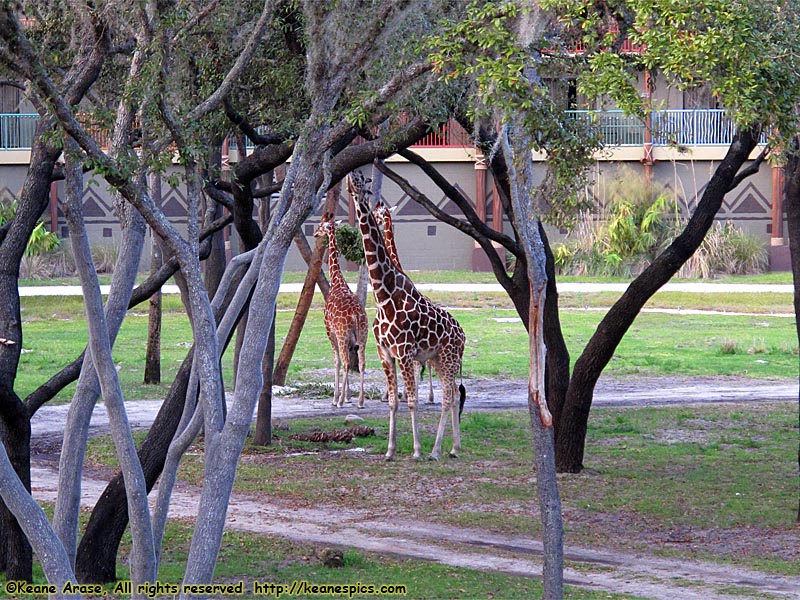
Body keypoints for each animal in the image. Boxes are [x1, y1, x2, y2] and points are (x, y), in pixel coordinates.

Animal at [312, 214, 368, 408]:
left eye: (321, 225)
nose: (315, 233)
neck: (337, 281)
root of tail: (356, 315)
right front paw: (348, 396)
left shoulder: (329, 330)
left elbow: (335, 361)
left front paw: (336, 397)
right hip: (363, 334)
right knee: (362, 362)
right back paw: (360, 401)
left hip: (343, 334)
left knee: (345, 362)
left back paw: (340, 401)